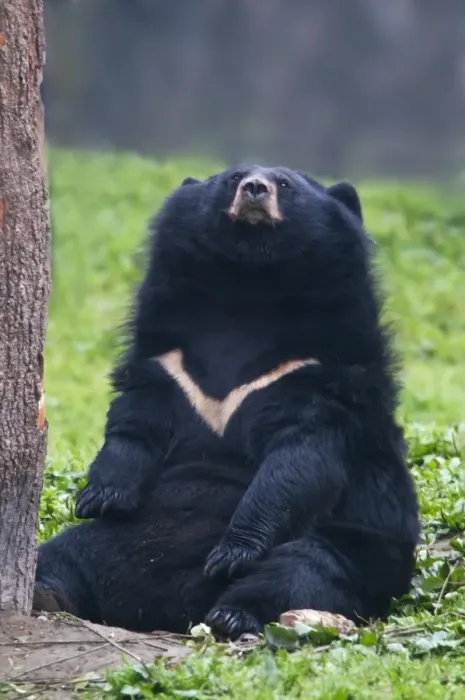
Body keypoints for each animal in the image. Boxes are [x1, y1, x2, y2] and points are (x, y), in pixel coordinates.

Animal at [34, 164, 420, 640]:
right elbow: (135, 421)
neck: (246, 288)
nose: (254, 189)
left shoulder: (321, 372)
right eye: (234, 177)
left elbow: (299, 459)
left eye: (285, 184)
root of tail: (170, 610)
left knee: (302, 572)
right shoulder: (169, 358)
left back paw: (232, 613)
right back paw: (47, 592)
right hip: (116, 539)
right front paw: (99, 497)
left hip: (358, 549)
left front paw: (232, 551)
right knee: (63, 553)